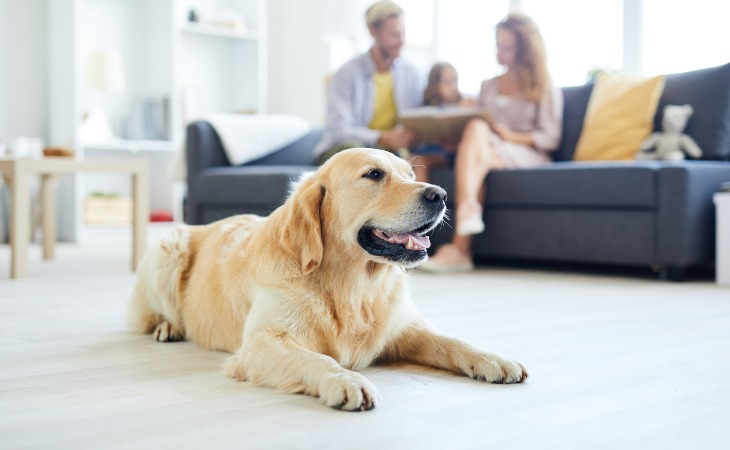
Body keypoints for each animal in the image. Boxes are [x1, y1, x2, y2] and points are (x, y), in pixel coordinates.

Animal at [128, 149, 528, 412]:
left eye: (410, 176)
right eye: (374, 175)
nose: (441, 195)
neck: (354, 286)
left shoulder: (404, 329)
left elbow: (452, 341)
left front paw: (492, 358)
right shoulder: (260, 344)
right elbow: (319, 359)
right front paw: (347, 380)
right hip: (169, 247)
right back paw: (168, 327)